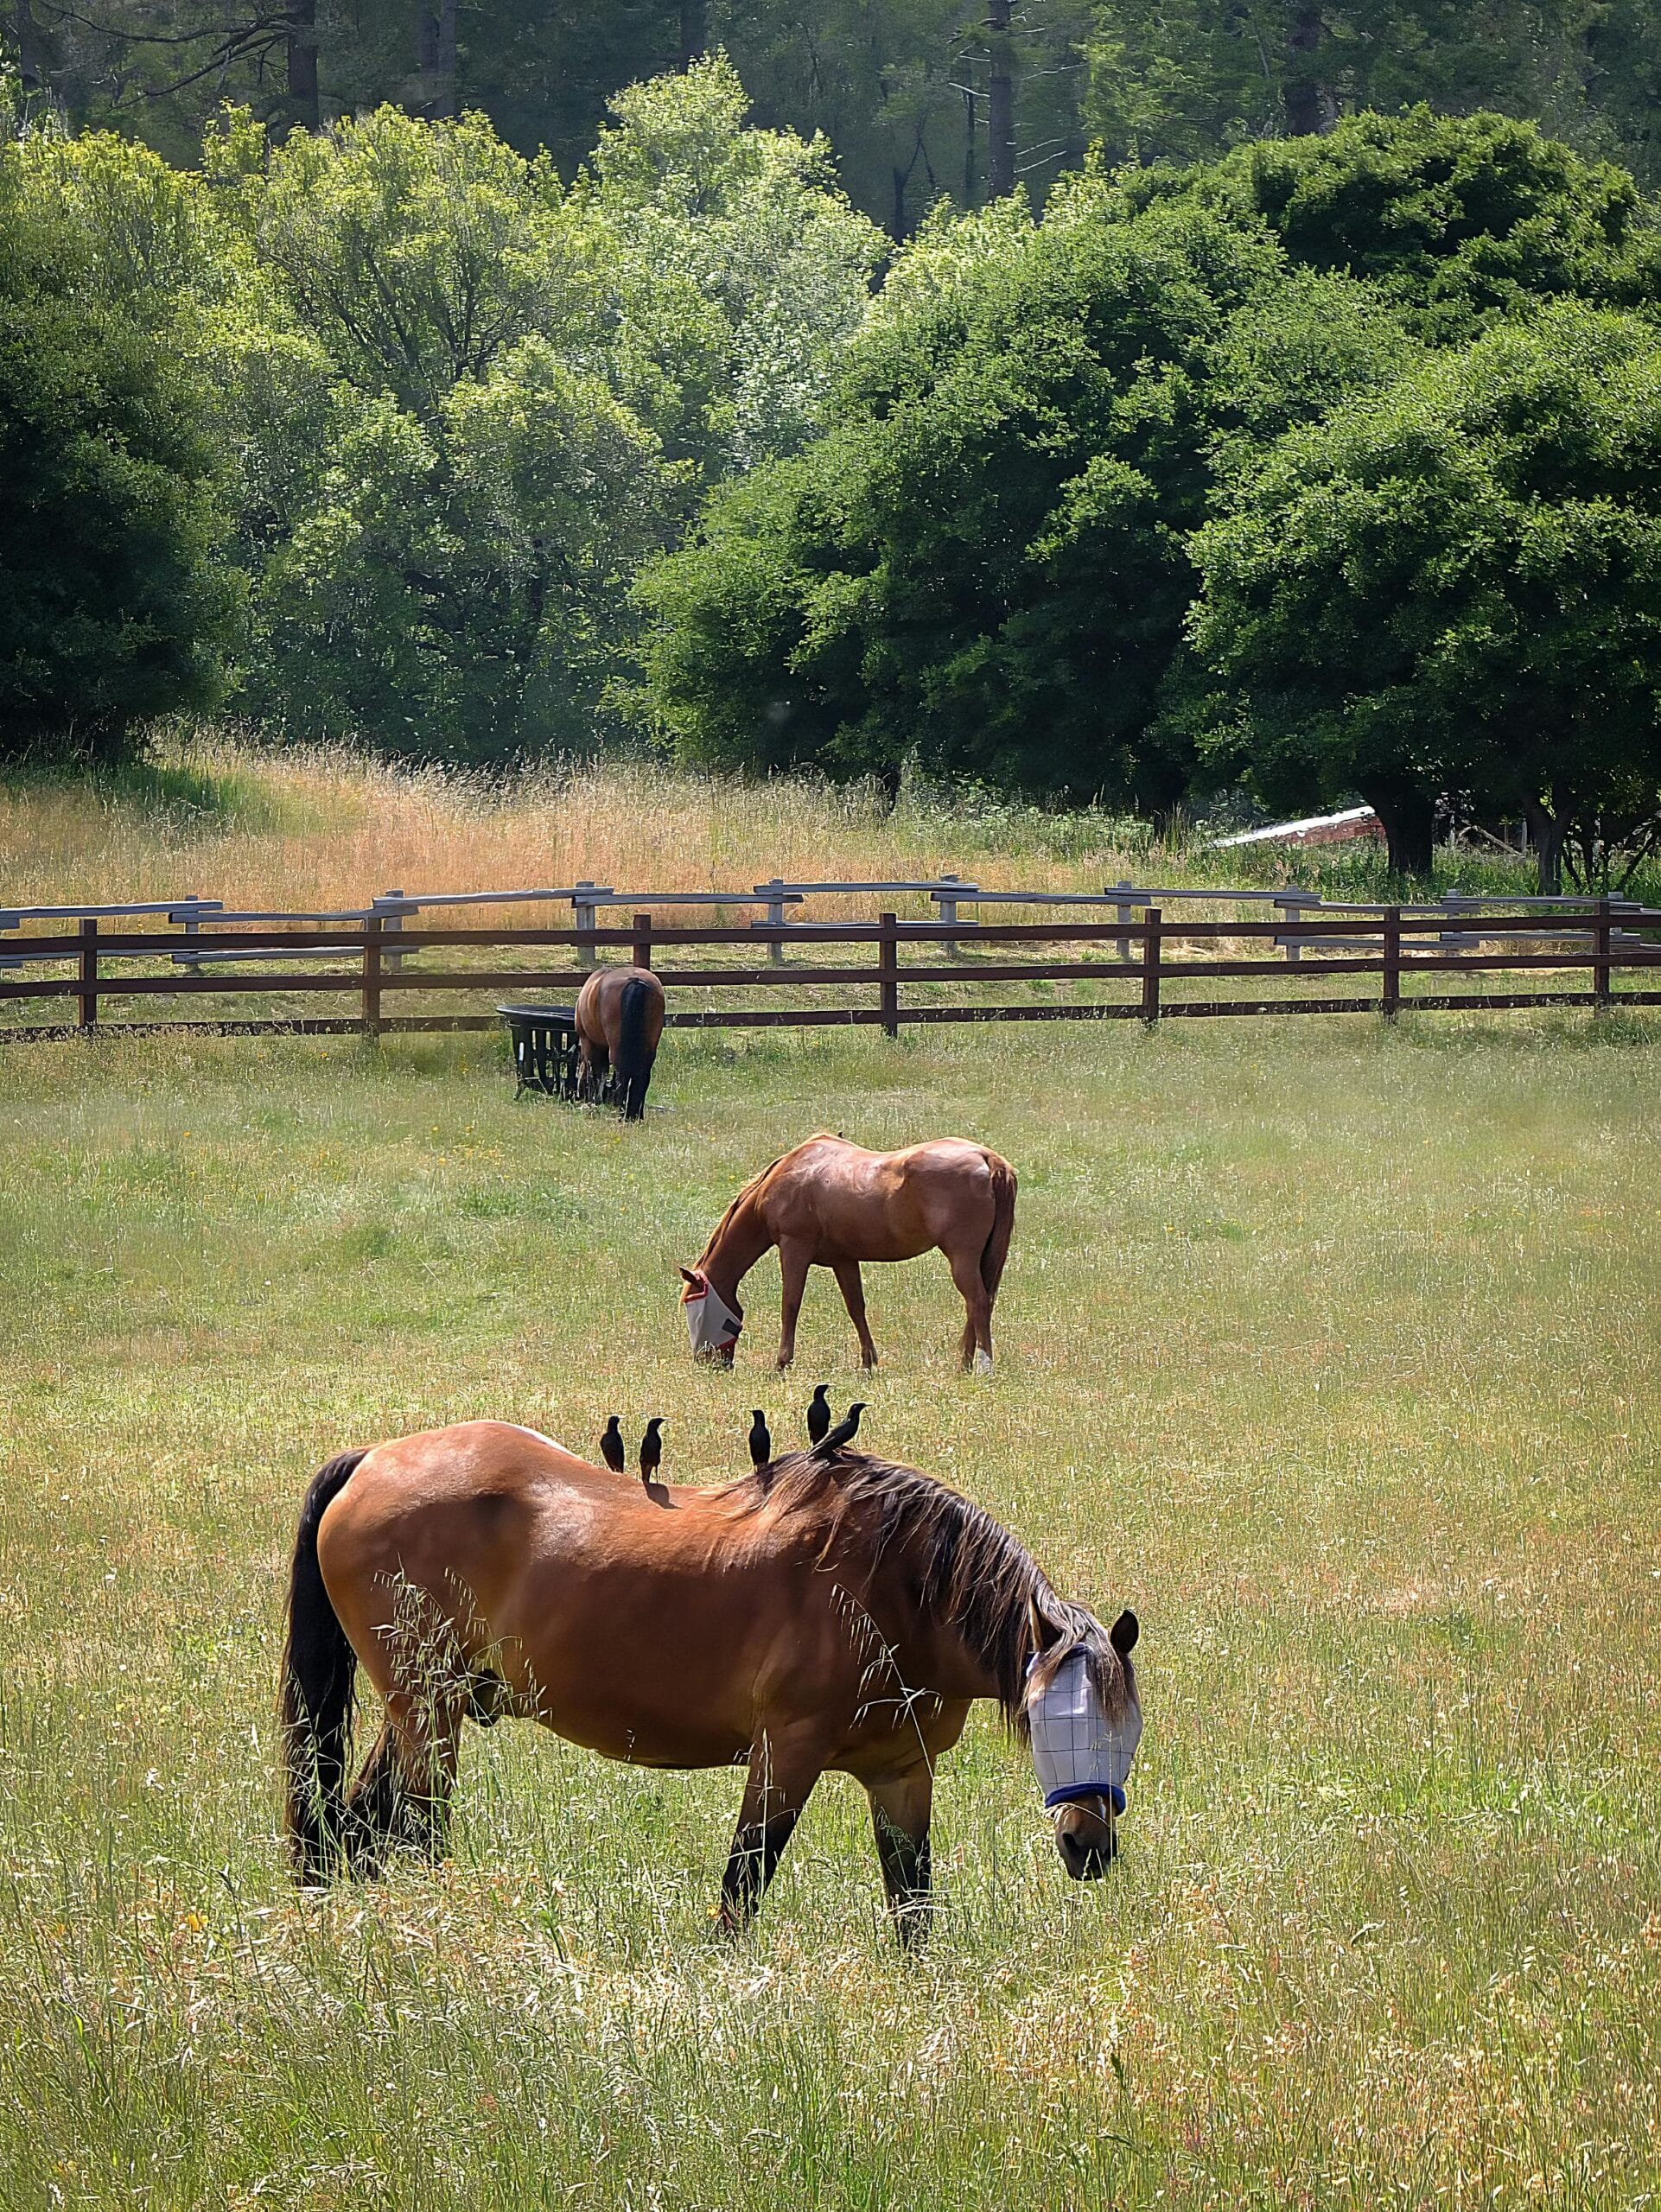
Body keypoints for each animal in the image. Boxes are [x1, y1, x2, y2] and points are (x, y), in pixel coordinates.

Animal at [283, 1424, 1141, 1946]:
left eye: (1126, 1733)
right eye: (1054, 1722)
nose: (1089, 1846)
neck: (894, 1587)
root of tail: (371, 1459)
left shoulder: (902, 1773)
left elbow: (913, 1906)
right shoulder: (784, 1757)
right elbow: (743, 1887)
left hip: (427, 1707)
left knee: (354, 1829)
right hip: (428, 1714)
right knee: (414, 1830)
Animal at [575, 964, 667, 1123]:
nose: (579, 1095)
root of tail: (636, 981)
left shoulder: (589, 1043)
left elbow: (594, 1073)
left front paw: (592, 1103)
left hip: (616, 1048)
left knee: (622, 1077)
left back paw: (622, 1115)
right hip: (649, 1048)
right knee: (642, 1077)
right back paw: (636, 1116)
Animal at [681, 1132, 1021, 1371]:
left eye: (691, 1303)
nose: (706, 1362)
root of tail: (988, 1159)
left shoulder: (794, 1249)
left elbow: (790, 1304)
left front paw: (782, 1363)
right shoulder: (844, 1260)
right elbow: (856, 1307)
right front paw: (868, 1362)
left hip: (961, 1257)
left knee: (978, 1302)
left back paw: (983, 1365)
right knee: (980, 1303)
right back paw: (964, 1364)